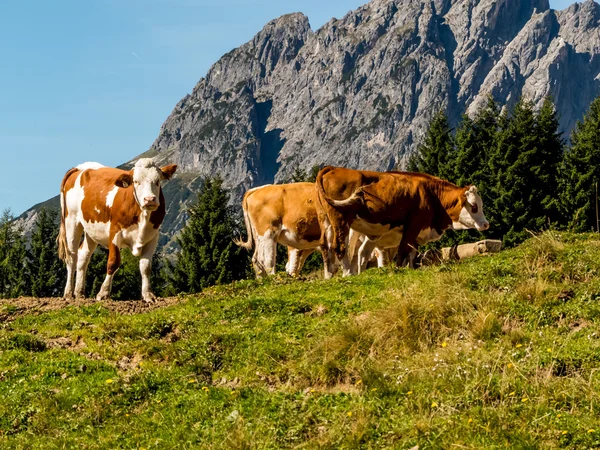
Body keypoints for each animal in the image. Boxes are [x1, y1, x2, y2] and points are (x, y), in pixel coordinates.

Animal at [57, 158, 177, 302]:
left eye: (157, 180)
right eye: (136, 181)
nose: (149, 199)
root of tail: (80, 167)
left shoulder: (153, 237)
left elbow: (146, 267)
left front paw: (148, 295)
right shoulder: (115, 232)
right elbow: (113, 262)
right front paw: (103, 293)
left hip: (91, 230)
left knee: (83, 255)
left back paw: (80, 293)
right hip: (72, 221)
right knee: (72, 257)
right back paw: (68, 293)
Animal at [316, 167, 490, 268]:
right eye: (474, 206)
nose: (486, 224)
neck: (432, 194)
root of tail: (333, 168)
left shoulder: (417, 231)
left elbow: (412, 253)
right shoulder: (413, 226)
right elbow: (404, 251)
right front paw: (400, 269)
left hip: (333, 224)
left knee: (351, 252)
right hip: (340, 220)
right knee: (340, 248)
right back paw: (347, 274)